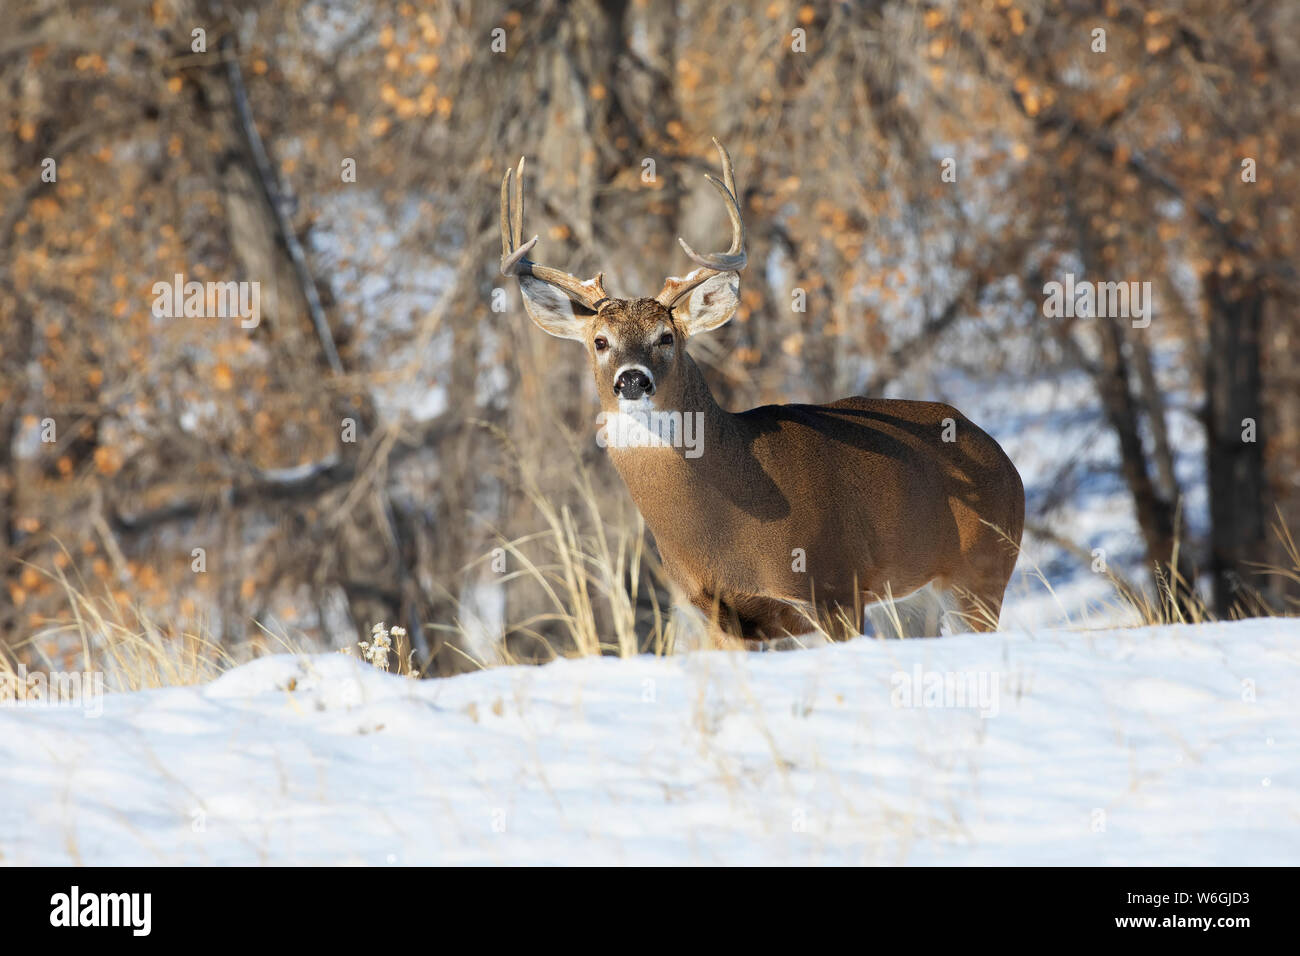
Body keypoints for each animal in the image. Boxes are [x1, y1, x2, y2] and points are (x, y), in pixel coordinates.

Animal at [496, 140, 1024, 642]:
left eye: (666, 337)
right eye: (600, 341)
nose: (632, 379)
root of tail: (1003, 458)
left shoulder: (834, 585)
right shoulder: (716, 612)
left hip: (981, 573)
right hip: (915, 599)